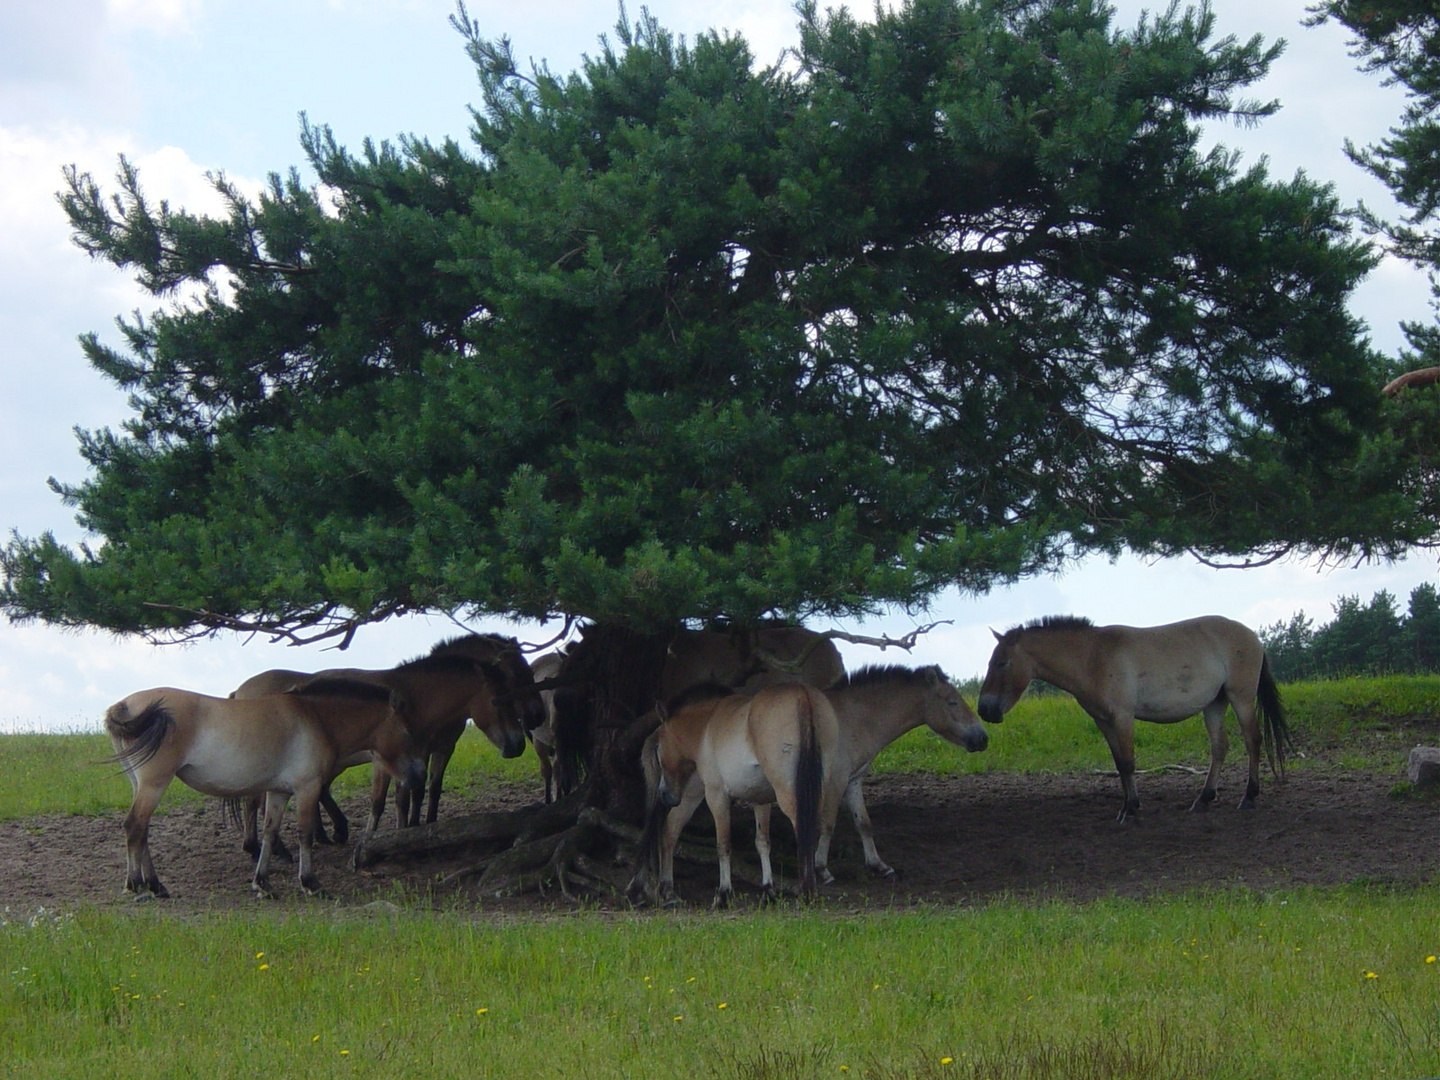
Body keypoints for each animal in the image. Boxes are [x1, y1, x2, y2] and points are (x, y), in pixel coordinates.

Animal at [105, 679, 423, 898]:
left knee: (142, 831)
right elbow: (305, 834)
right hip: (154, 783)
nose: (416, 775)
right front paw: (310, 883)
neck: (315, 717)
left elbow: (270, 832)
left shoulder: (279, 792)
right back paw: (136, 884)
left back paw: (155, 885)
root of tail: (126, 705)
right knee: (135, 826)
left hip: (140, 784)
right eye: (407, 732)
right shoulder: (307, 788)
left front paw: (263, 883)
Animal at [648, 688, 840, 910]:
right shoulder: (761, 800)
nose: (664, 794)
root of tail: (802, 695)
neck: (706, 726)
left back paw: (807, 892)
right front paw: (768, 891)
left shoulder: (717, 796)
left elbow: (723, 844)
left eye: (658, 746)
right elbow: (763, 842)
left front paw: (723, 894)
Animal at [973, 616, 1290, 817]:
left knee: (1252, 740)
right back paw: (1203, 800)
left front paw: (1132, 809)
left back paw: (1249, 797)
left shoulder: (1122, 718)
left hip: (1240, 698)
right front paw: (1126, 806)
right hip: (1214, 704)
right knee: (1220, 747)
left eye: (1002, 663)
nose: (985, 710)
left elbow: (1127, 762)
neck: (1092, 658)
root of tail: (1252, 636)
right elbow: (1118, 763)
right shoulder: (1104, 722)